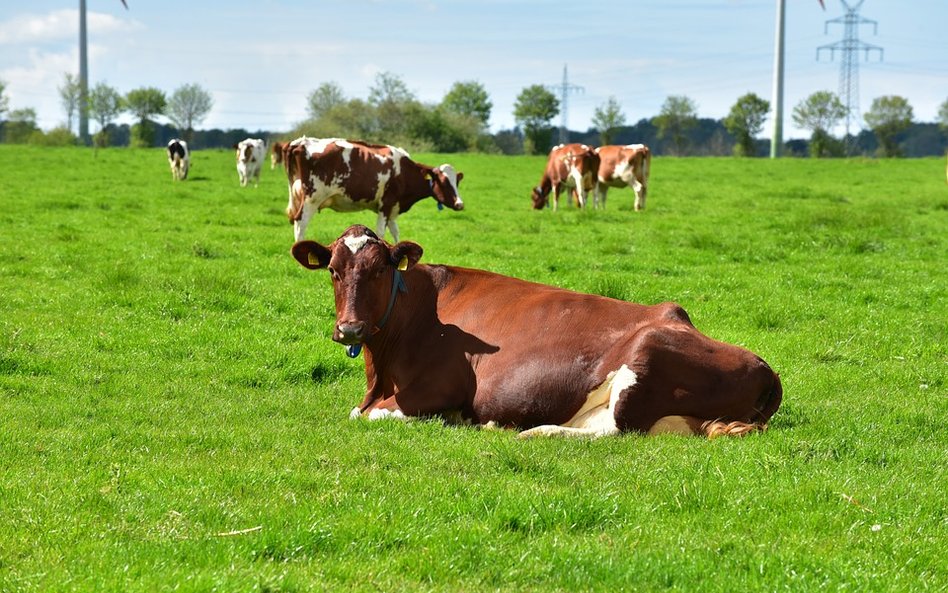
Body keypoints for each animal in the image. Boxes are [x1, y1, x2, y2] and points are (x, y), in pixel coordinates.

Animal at [286, 137, 466, 243]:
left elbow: (395, 232)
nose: (460, 204)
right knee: (300, 221)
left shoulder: (393, 208)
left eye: (456, 182)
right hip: (312, 198)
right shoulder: (386, 204)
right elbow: (380, 232)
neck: (404, 172)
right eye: (444, 182)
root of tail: (301, 142)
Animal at [292, 224, 780, 438]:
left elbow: (367, 415)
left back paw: (534, 432)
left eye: (380, 270)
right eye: (334, 270)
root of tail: (765, 368)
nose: (349, 328)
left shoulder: (439, 388)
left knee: (616, 431)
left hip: (645, 355)